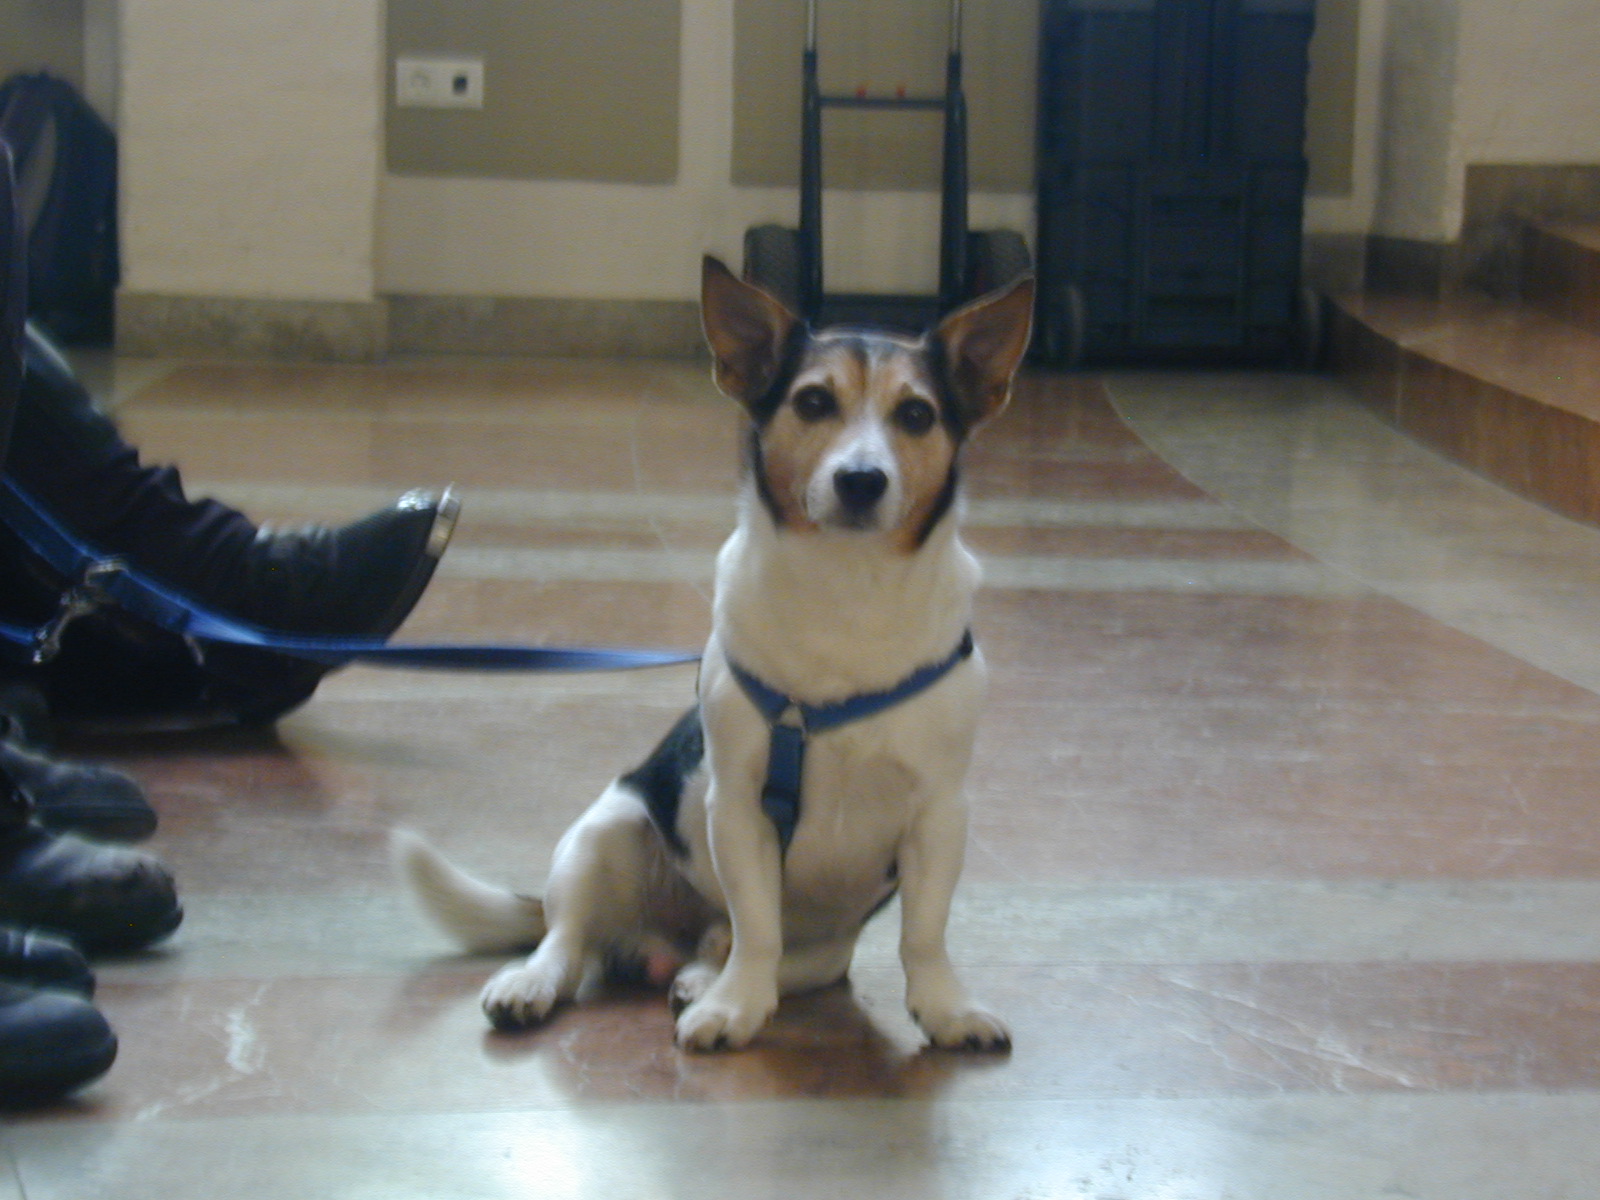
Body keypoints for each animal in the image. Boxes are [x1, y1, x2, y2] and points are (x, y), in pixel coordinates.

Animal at [395, 255, 1033, 1052]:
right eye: (814, 401)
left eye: (917, 415)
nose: (861, 480)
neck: (848, 587)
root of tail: (667, 938)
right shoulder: (737, 804)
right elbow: (758, 923)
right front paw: (735, 1007)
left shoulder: (940, 812)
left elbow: (924, 933)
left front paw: (945, 1008)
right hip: (605, 832)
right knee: (570, 939)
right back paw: (544, 981)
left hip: (822, 933)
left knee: (782, 956)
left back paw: (701, 972)